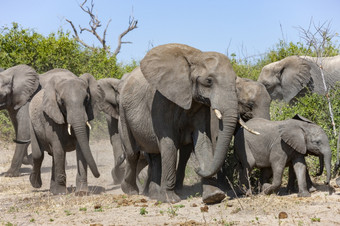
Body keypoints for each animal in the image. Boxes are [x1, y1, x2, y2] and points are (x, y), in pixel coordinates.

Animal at [117, 43, 239, 204]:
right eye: (209, 81)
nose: (198, 169)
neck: (195, 57)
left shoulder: (200, 105)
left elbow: (202, 141)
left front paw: (214, 196)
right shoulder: (160, 101)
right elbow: (169, 143)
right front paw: (171, 199)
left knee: (155, 156)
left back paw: (154, 195)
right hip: (123, 114)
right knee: (132, 153)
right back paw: (130, 191)